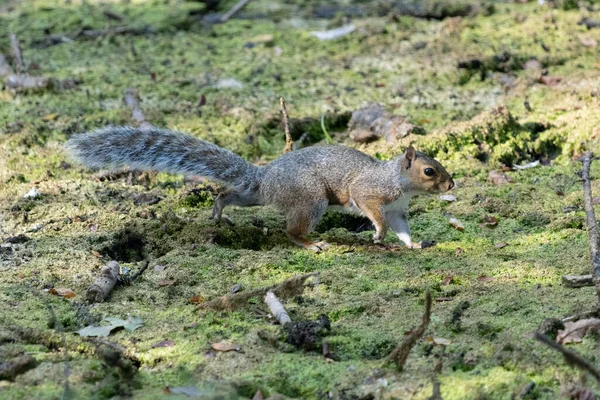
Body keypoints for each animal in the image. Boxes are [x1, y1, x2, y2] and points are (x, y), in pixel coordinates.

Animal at [67, 126, 454, 250]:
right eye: (429, 171)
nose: (452, 183)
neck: (399, 182)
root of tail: (265, 177)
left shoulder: (399, 209)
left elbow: (403, 229)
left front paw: (414, 244)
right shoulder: (371, 193)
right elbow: (373, 211)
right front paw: (377, 234)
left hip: (256, 197)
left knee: (230, 193)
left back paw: (218, 211)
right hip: (311, 200)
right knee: (290, 232)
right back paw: (312, 243)